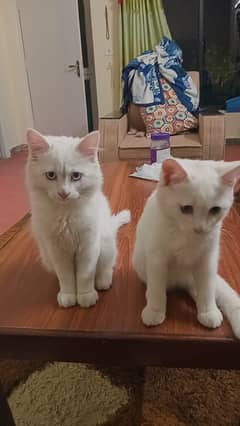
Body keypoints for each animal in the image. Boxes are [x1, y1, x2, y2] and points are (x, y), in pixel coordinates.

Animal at [25, 128, 129, 308]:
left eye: (76, 176)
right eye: (50, 175)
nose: (63, 193)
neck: (66, 215)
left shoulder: (89, 245)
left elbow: (85, 275)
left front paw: (85, 296)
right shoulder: (56, 249)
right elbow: (65, 276)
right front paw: (68, 295)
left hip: (106, 245)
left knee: (107, 266)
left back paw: (103, 281)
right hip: (47, 257)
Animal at [132, 158, 240, 338]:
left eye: (215, 210)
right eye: (186, 208)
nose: (200, 229)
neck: (187, 239)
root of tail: (180, 280)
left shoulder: (208, 260)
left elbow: (207, 288)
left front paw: (208, 310)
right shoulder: (156, 258)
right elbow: (156, 287)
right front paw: (155, 310)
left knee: (203, 288)